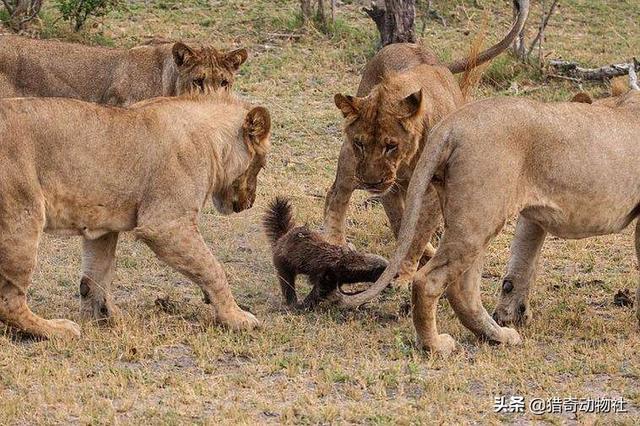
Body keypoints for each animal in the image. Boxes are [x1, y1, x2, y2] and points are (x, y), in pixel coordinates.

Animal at [0, 91, 270, 338]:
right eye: (261, 164)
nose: (251, 203)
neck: (213, 145)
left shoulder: (102, 225)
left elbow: (96, 276)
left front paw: (106, 317)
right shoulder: (166, 224)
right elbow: (213, 269)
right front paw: (236, 317)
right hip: (24, 217)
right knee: (9, 301)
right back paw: (57, 330)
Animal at [324, 0, 528, 272]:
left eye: (391, 146)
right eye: (360, 143)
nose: (371, 182)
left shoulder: (429, 189)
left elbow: (418, 233)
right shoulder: (386, 183)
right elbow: (401, 222)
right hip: (350, 161)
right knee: (337, 193)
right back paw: (333, 242)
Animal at [338, 85, 636, 354]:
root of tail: (451, 125)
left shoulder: (533, 216)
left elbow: (522, 263)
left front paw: (513, 314)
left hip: (473, 219)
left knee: (463, 289)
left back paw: (498, 335)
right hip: (479, 219)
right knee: (429, 281)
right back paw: (436, 345)